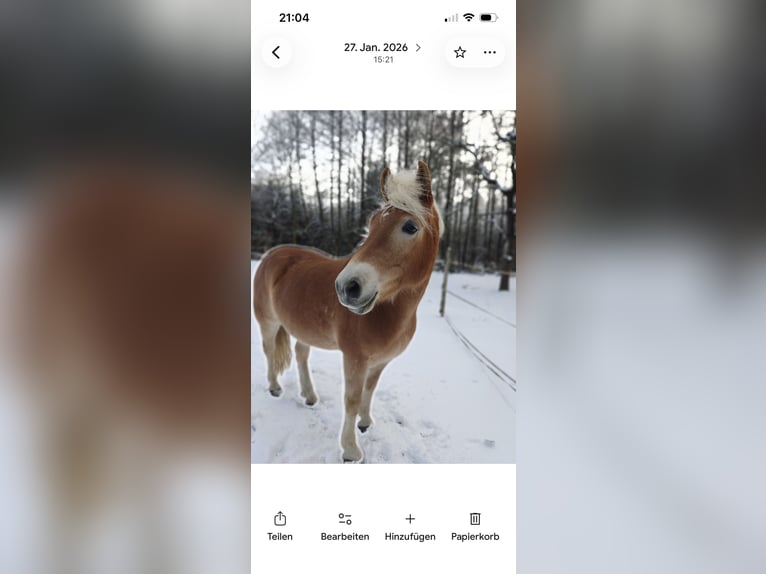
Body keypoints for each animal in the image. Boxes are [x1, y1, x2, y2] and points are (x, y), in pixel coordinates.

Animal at [253, 161, 443, 462]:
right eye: (372, 224)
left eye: (410, 226)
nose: (347, 287)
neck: (389, 314)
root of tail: (272, 254)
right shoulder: (355, 359)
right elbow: (351, 400)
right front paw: (351, 449)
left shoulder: (379, 362)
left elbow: (369, 391)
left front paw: (365, 423)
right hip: (268, 323)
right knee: (269, 350)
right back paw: (274, 388)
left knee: (301, 354)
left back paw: (309, 395)